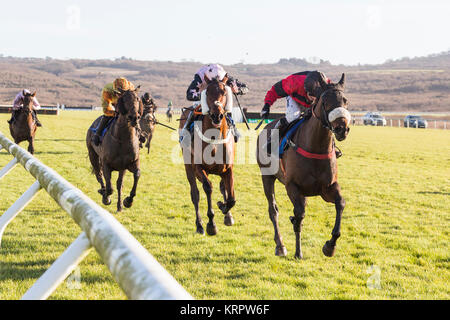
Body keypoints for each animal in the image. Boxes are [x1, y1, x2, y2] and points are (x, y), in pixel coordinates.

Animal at [178, 77, 237, 235]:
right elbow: (208, 187)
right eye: (207, 92)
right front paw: (211, 224)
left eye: (224, 92)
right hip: (188, 166)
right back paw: (199, 225)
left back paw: (227, 216)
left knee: (223, 188)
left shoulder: (228, 169)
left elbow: (231, 198)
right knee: (195, 194)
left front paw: (224, 208)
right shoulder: (198, 167)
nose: (217, 115)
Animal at [256, 74, 352, 258]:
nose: (341, 129)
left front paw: (330, 246)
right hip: (267, 176)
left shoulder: (328, 187)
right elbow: (299, 214)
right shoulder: (292, 186)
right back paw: (280, 246)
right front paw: (298, 251)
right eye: (325, 101)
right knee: (273, 210)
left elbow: (341, 203)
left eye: (345, 101)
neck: (316, 146)